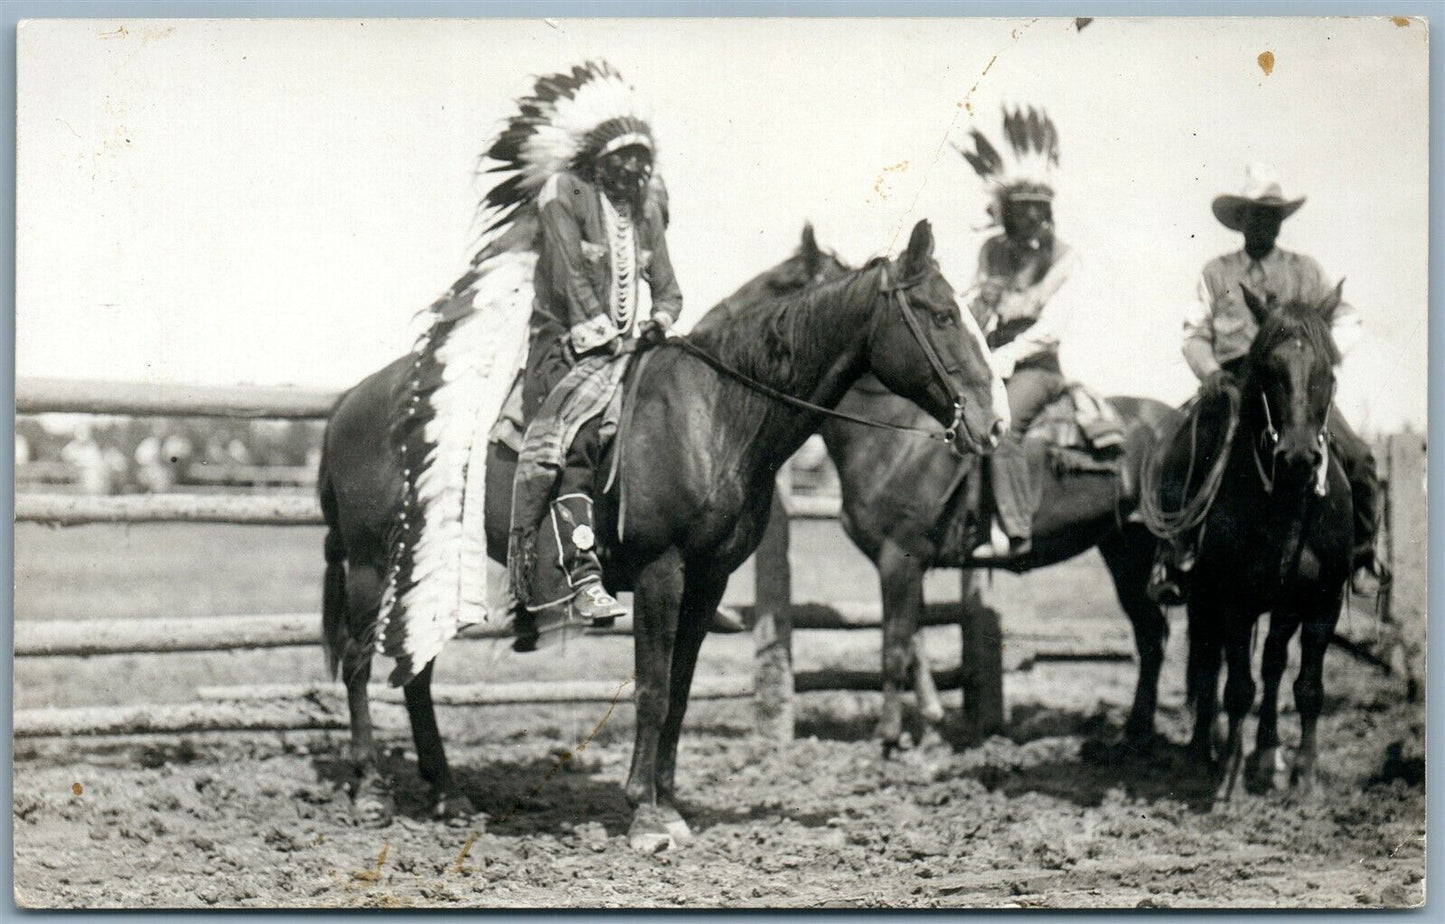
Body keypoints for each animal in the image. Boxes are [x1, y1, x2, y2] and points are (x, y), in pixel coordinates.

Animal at [323, 219, 1011, 850]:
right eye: (942, 314)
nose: (994, 421)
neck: (715, 414)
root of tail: (353, 401)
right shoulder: (662, 570)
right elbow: (652, 689)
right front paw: (645, 814)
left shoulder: (709, 580)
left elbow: (679, 690)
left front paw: (670, 801)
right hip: (370, 565)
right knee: (358, 664)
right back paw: (371, 791)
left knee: (416, 671)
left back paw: (447, 793)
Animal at [1173, 283, 1352, 803]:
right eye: (1270, 368)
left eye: (1328, 369)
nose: (1298, 456)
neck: (1289, 507)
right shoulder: (1234, 601)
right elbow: (1237, 688)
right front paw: (1228, 779)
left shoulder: (1319, 603)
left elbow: (1307, 688)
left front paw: (1303, 777)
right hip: (1204, 599)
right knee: (1208, 663)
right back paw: (1203, 753)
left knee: (1272, 665)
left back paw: (1267, 757)